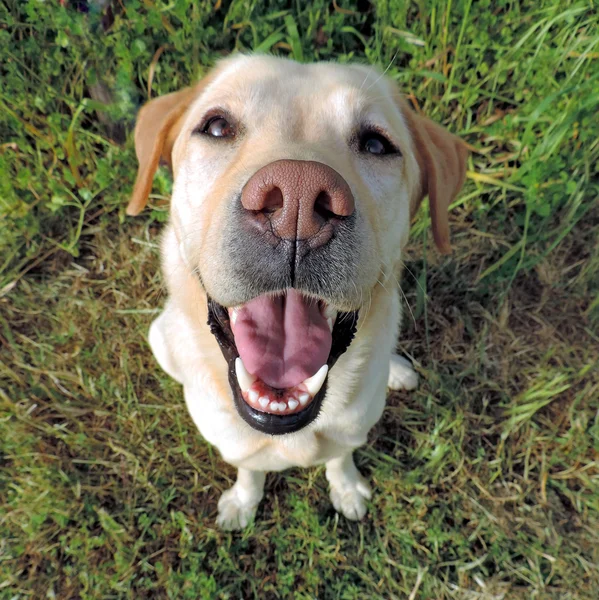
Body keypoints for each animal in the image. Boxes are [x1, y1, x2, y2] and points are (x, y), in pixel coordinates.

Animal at [126, 54, 468, 528]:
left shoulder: (350, 433)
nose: (297, 201)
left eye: (376, 145)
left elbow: (340, 459)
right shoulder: (237, 445)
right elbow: (249, 469)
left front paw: (346, 488)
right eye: (217, 126)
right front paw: (243, 502)